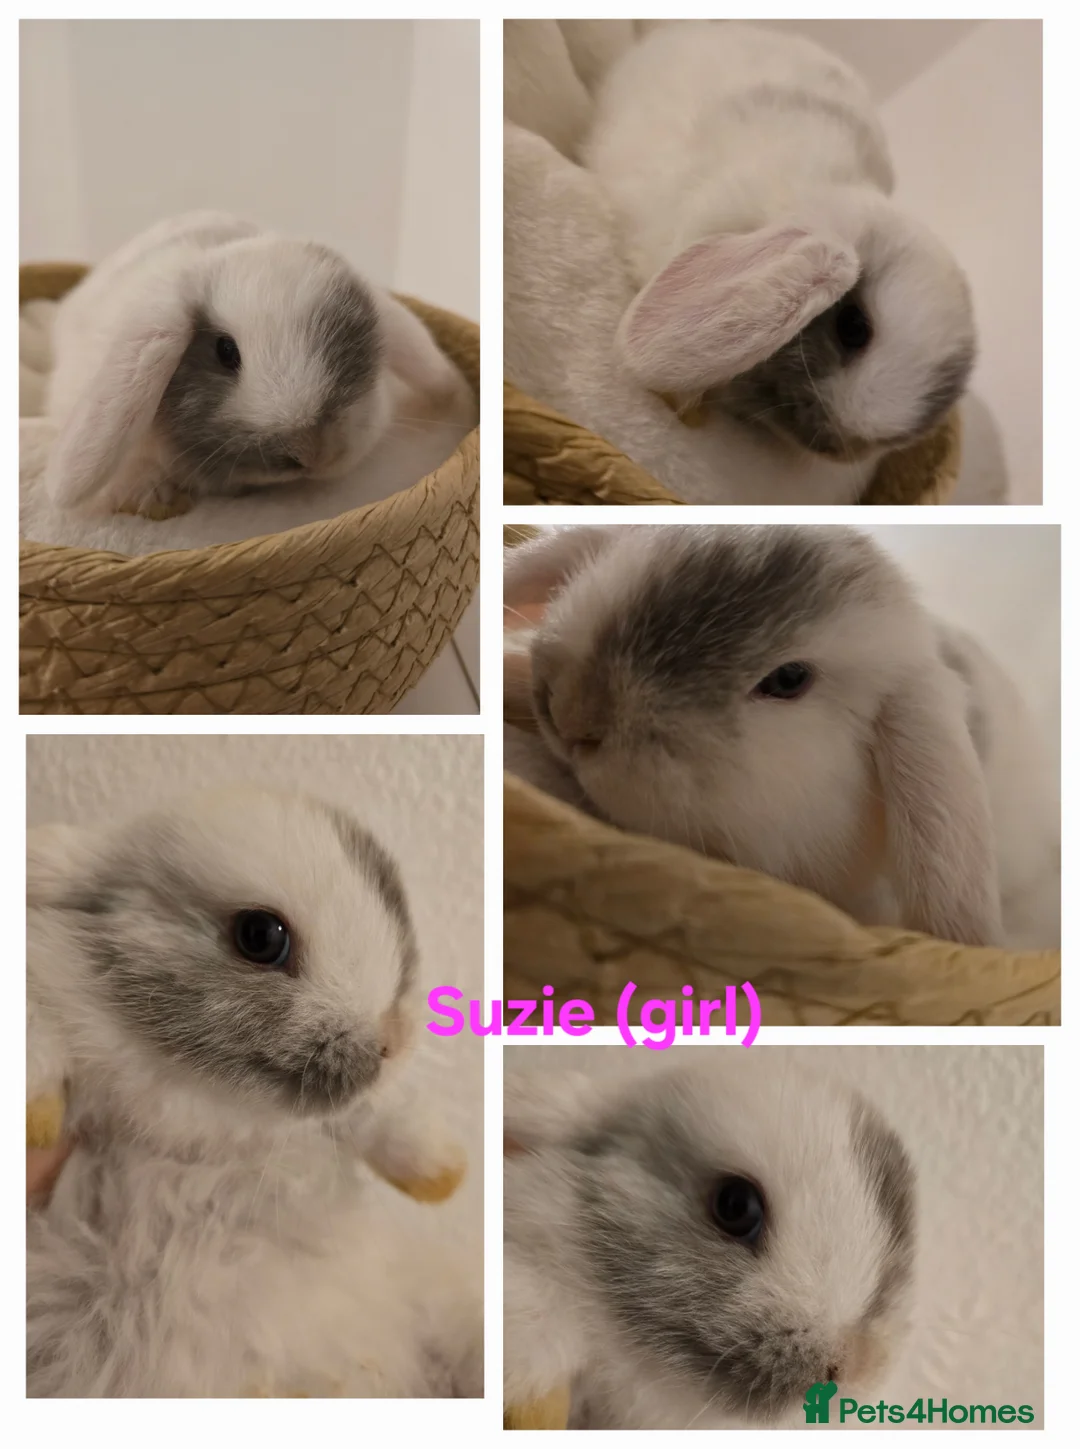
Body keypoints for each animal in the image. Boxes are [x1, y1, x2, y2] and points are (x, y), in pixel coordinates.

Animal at [26, 788, 481, 1398]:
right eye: (261, 936)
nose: (394, 1040)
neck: (203, 1102)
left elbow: (380, 1118)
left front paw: (443, 1175)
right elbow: (36, 1030)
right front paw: (34, 1117)